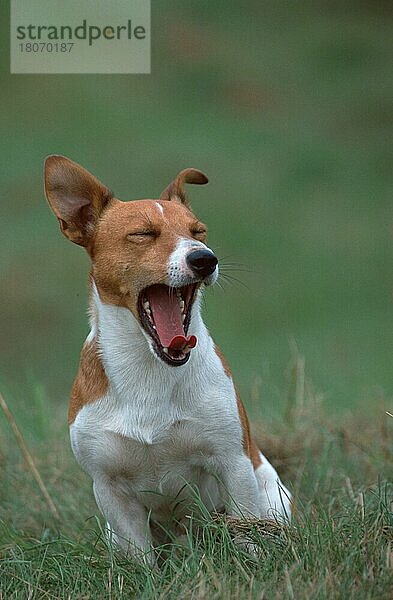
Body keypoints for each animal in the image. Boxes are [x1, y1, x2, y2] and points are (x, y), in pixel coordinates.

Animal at [44, 155, 290, 564]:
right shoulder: (109, 488)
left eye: (199, 231)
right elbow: (139, 558)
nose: (205, 259)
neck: (150, 368)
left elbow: (246, 533)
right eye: (143, 234)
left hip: (272, 497)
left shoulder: (234, 464)